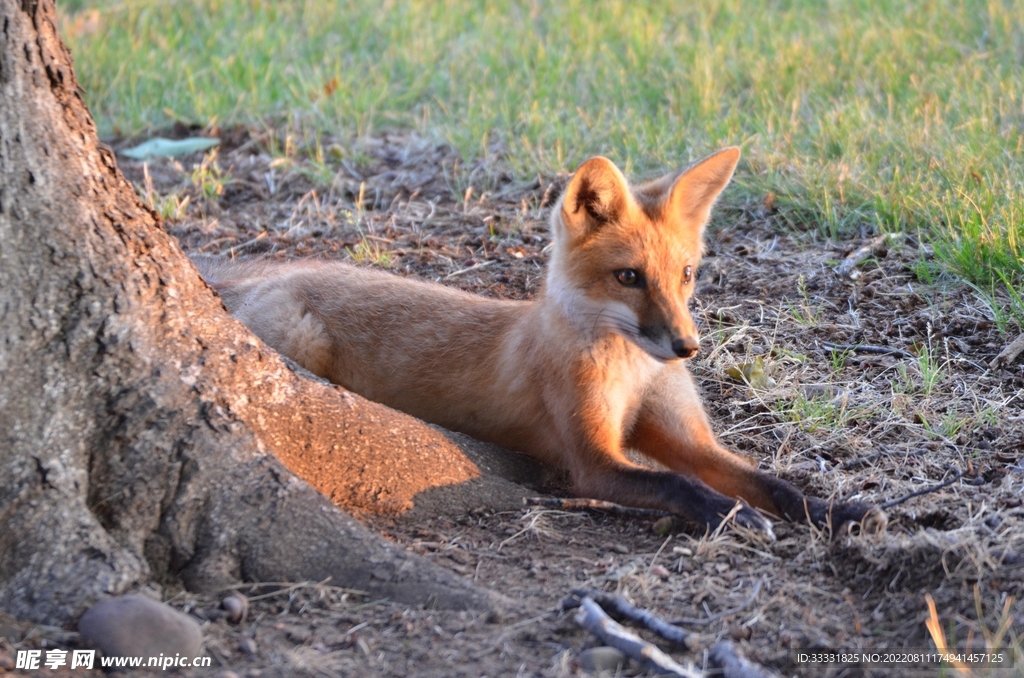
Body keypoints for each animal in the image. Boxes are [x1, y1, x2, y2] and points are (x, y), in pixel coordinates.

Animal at [195, 148, 884, 540]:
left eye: (686, 274)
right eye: (629, 277)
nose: (687, 348)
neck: (632, 374)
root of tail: (261, 273)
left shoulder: (689, 442)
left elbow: (773, 483)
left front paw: (838, 512)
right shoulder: (592, 462)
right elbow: (680, 486)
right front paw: (737, 517)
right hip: (298, 343)